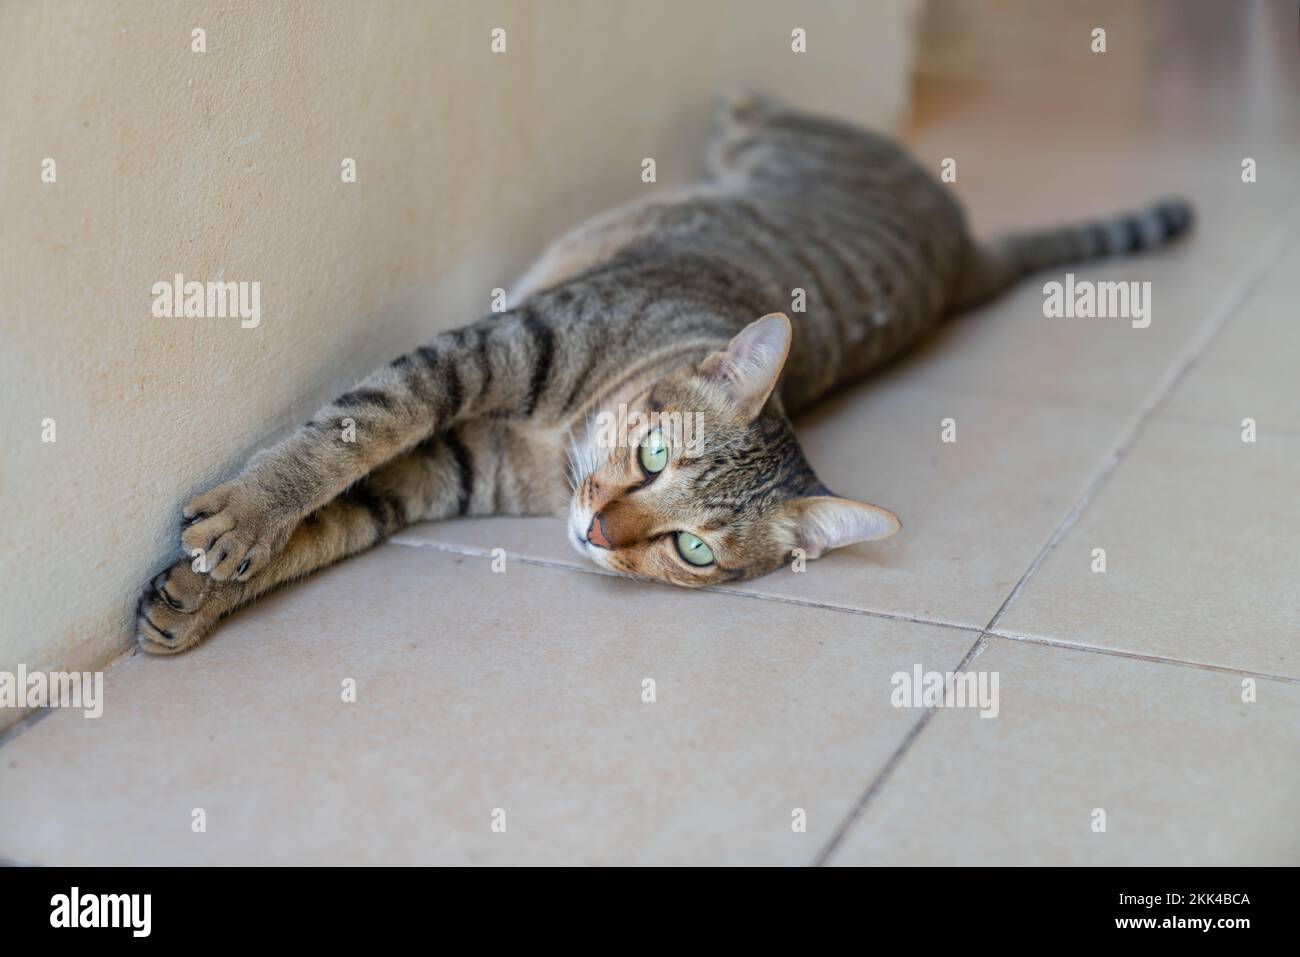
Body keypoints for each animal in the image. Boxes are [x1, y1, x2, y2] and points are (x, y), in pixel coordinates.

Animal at [134, 95, 1190, 650]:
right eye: (651, 453)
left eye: (692, 550)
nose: (600, 529)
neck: (556, 451)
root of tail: (969, 248)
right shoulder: (480, 352)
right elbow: (352, 432)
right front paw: (246, 519)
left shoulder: (450, 470)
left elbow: (347, 512)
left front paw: (203, 587)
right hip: (779, 141)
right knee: (760, 110)